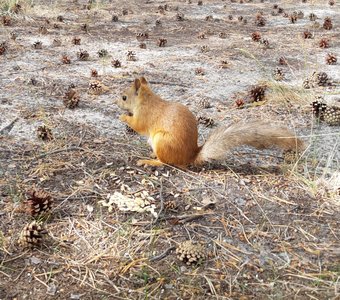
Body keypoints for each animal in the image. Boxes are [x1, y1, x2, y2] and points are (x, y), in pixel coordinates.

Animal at [115, 76, 304, 168]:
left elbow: (137, 125)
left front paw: (122, 117)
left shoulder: (144, 116)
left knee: (168, 162)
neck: (147, 100)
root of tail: (191, 156)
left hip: (162, 141)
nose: (116, 102)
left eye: (124, 97)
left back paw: (149, 161)